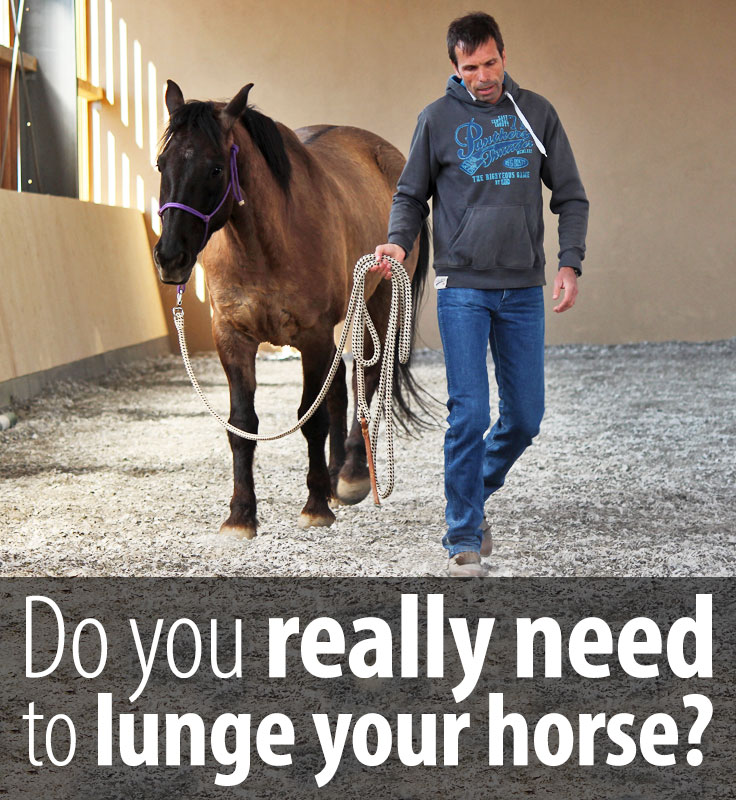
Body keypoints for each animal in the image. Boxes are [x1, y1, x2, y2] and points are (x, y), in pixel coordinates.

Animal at [153, 81, 430, 539]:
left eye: (215, 169)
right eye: (161, 163)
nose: (170, 257)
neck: (263, 246)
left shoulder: (312, 336)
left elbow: (311, 419)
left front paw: (316, 507)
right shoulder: (233, 337)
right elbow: (242, 424)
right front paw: (241, 515)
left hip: (378, 298)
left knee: (367, 377)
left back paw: (351, 475)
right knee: (339, 391)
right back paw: (335, 477)